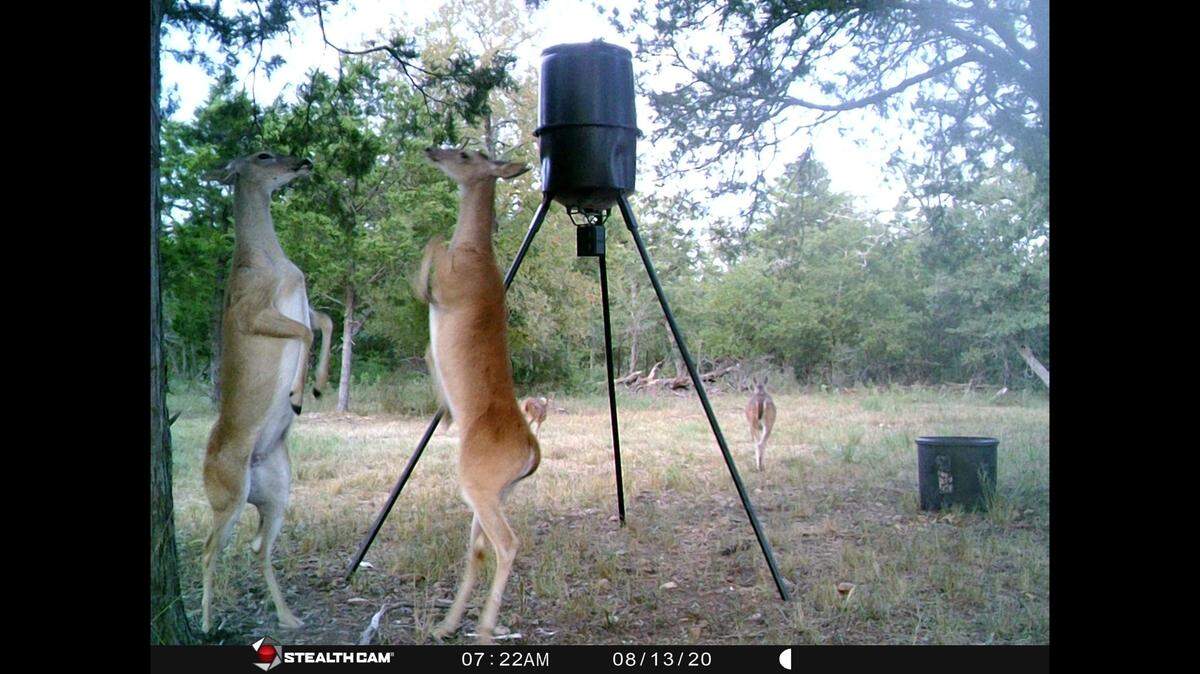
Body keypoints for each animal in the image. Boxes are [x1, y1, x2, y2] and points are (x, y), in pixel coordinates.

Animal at [199, 150, 325, 633]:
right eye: (263, 154)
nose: (305, 160)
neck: (273, 262)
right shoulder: (254, 313)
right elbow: (307, 333)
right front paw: (298, 394)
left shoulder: (304, 302)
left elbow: (324, 323)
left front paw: (317, 386)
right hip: (228, 494)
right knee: (209, 549)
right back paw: (205, 624)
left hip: (278, 489)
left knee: (257, 547)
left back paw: (289, 617)